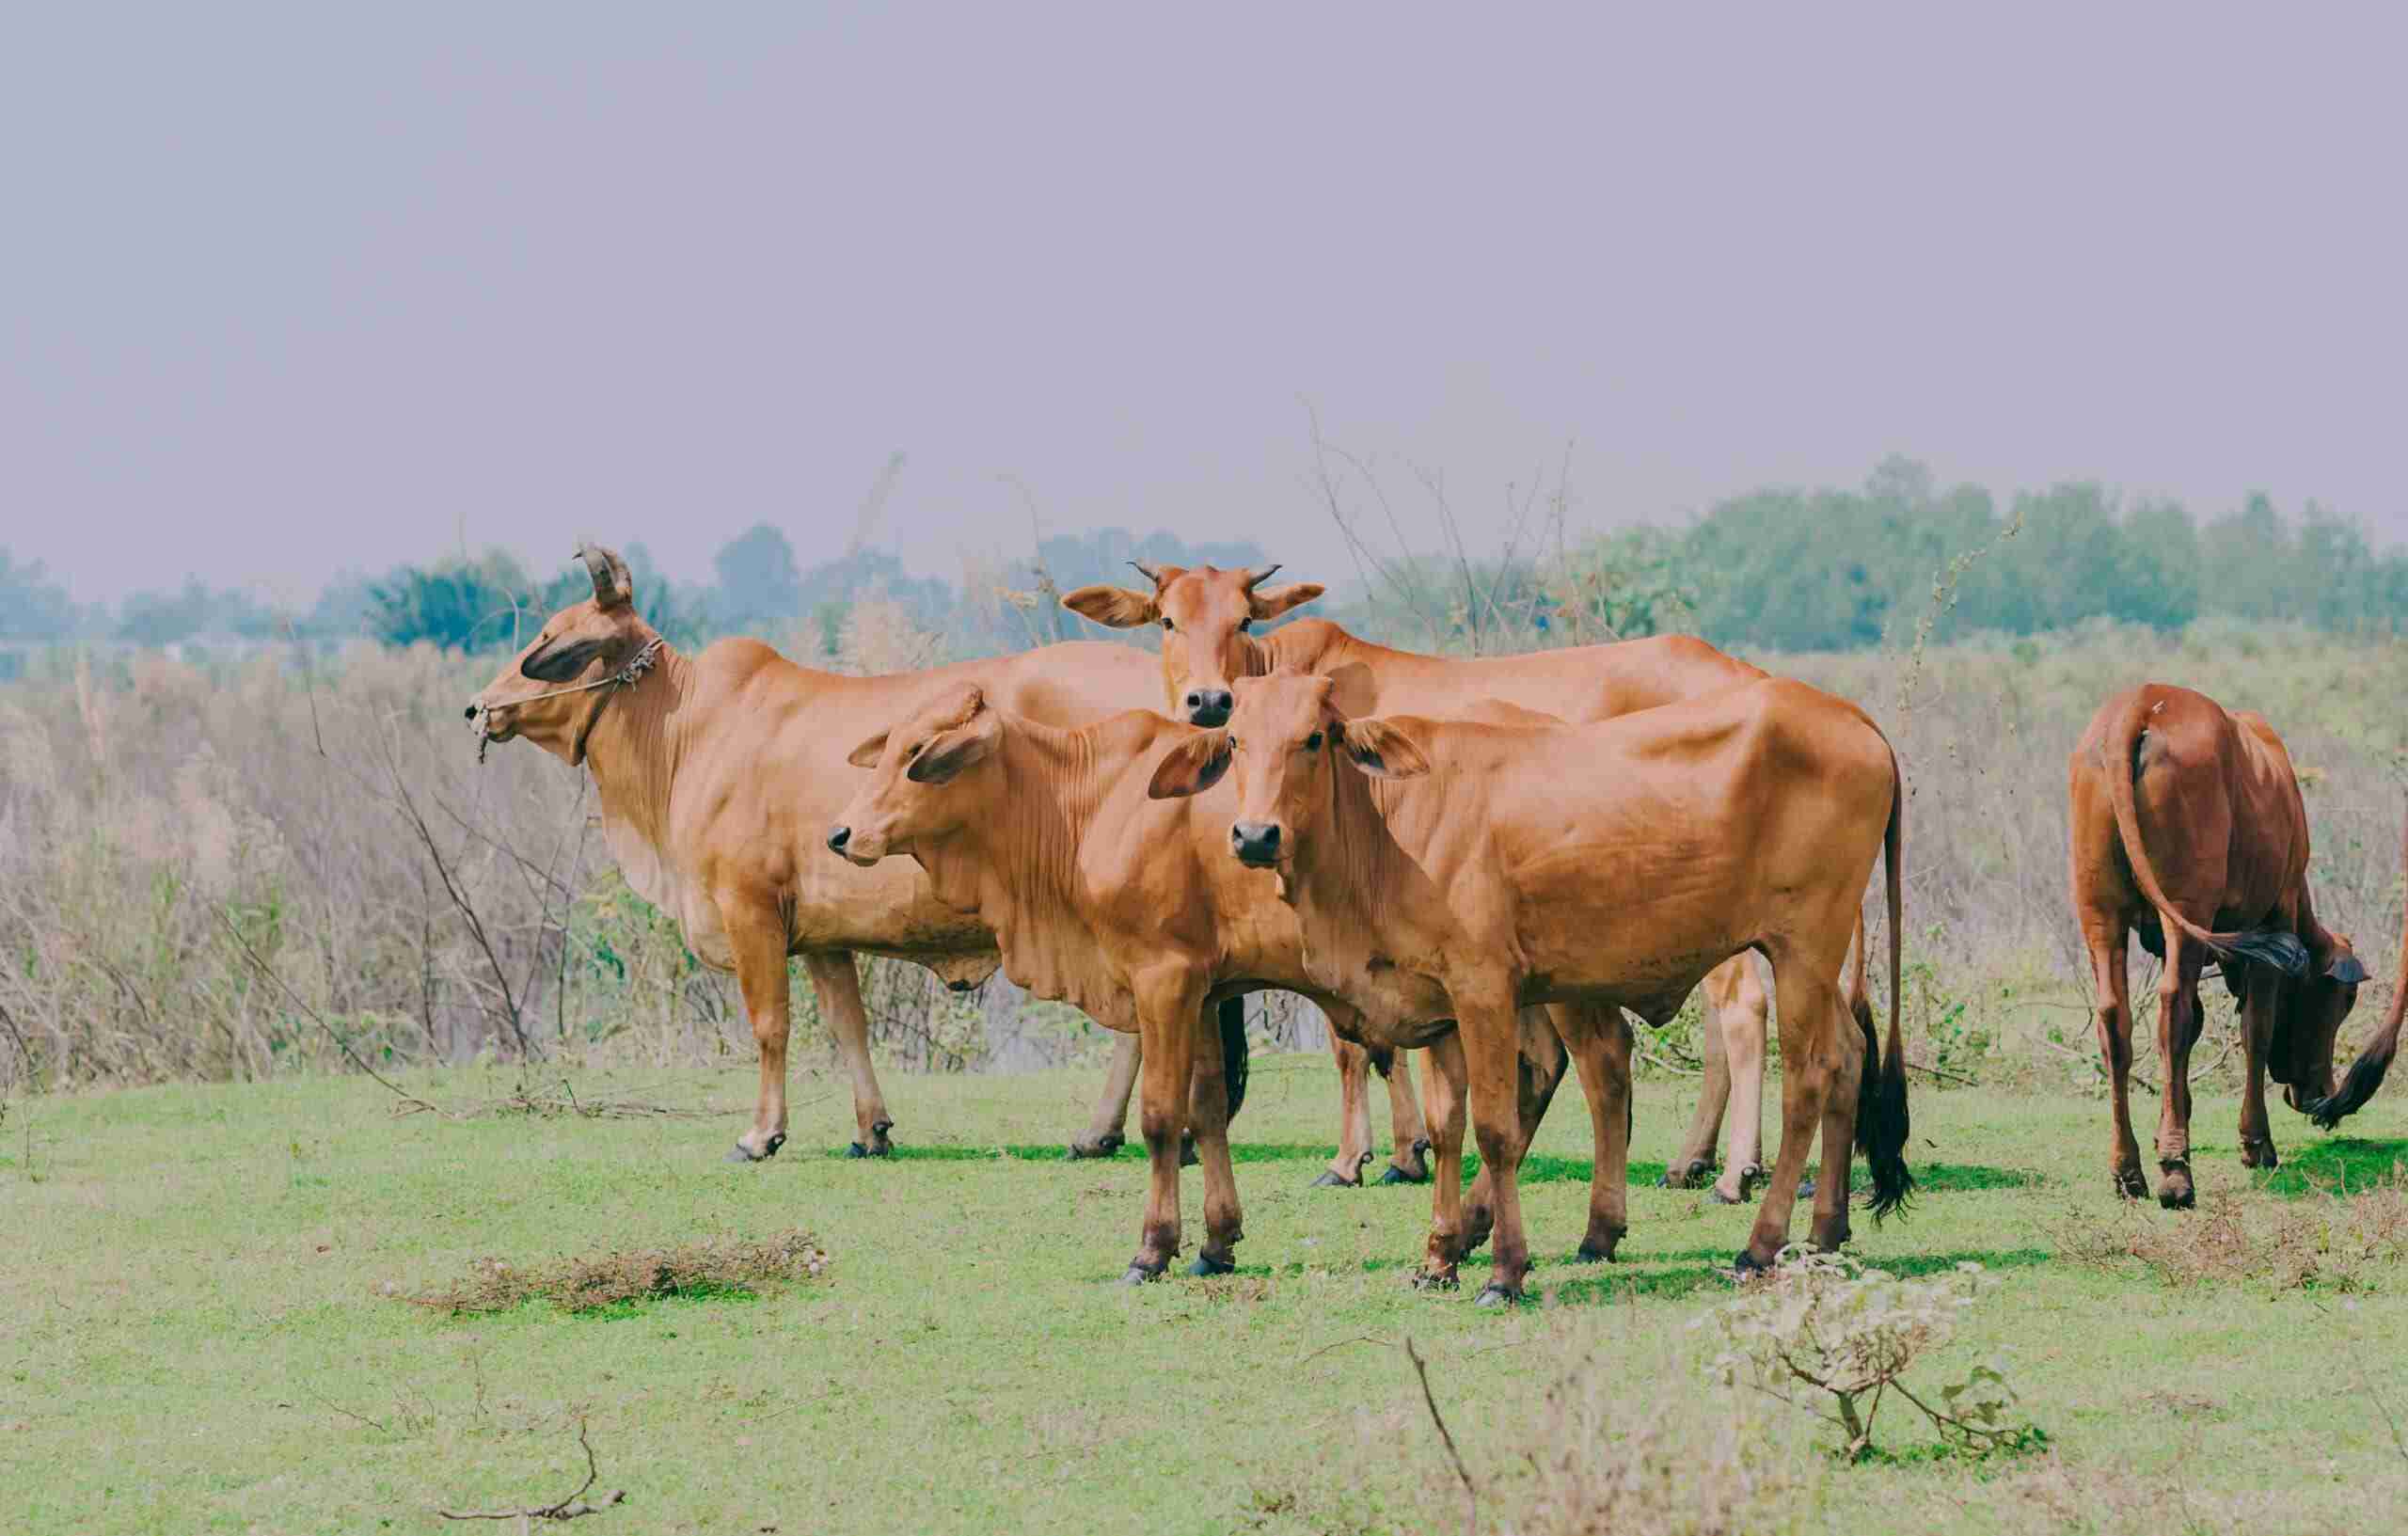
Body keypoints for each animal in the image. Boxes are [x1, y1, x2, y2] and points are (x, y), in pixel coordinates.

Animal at [467, 544, 1239, 1164]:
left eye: (550, 640)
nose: (478, 707)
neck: (686, 731)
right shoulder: (820, 935)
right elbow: (848, 1027)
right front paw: (872, 1129)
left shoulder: (749, 909)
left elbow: (771, 1026)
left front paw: (761, 1135)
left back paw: (1109, 1131)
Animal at [827, 684, 1601, 1289]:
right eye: (888, 746)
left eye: (917, 753)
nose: (840, 834)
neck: (1086, 800)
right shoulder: (1205, 990)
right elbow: (1207, 1112)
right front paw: (1216, 1241)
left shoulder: (1161, 979)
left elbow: (1161, 1117)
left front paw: (1152, 1249)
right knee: (1542, 1074)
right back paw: (1482, 1229)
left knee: (1589, 1071)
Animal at [1061, 560, 1856, 1204]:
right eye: (1168, 619)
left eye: (1243, 618)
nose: (1209, 701)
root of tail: (1748, 675)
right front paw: (1406, 1152)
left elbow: (1356, 1042)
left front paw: (1357, 1158)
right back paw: (1703, 1161)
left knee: (1743, 1014)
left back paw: (1733, 1172)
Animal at [1152, 669, 1912, 1298]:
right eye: (1237, 742)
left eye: (1313, 738)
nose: (1255, 835)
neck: (1388, 825)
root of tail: (1851, 716)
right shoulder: (1439, 1005)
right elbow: (1446, 1126)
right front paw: (1440, 1256)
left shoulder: (1484, 991)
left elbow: (1493, 1128)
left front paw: (1503, 1271)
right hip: (1814, 959)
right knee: (1848, 1058)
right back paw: (1825, 1230)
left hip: (1802, 950)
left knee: (1808, 1079)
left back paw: (1761, 1245)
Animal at [2067, 684, 2380, 1208]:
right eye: (2342, 1001)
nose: (2320, 1094)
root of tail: (2140, 703)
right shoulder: (2276, 918)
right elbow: (2256, 1028)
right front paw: (2257, 1143)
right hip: (2186, 908)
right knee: (2172, 1010)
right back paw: (2176, 1172)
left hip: (2100, 913)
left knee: (2115, 1019)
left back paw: (2129, 1169)